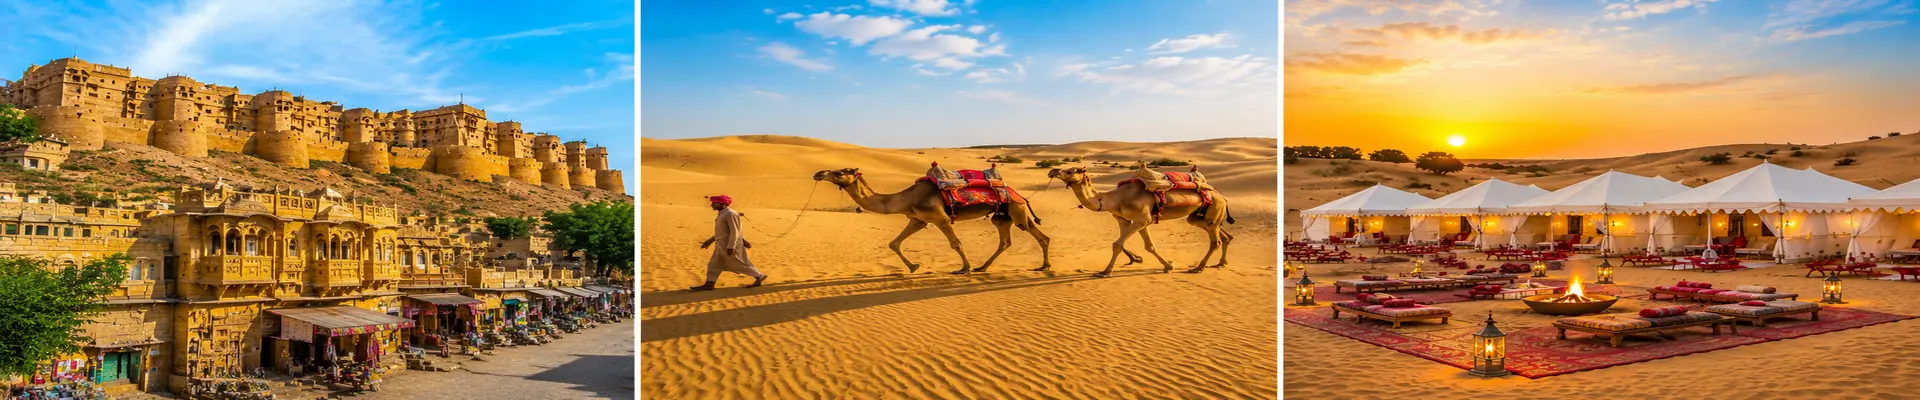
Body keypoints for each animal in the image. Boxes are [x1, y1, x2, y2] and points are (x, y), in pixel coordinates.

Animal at [812, 168, 1051, 274]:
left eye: (840, 172)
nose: (818, 173)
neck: (905, 198)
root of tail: (1020, 195)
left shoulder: (940, 218)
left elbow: (956, 244)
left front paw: (963, 269)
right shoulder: (918, 220)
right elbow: (894, 243)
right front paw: (913, 267)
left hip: (1017, 211)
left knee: (1040, 236)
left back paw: (1044, 266)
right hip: (1002, 216)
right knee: (1005, 241)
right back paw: (983, 267)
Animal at [1048, 166, 1234, 277]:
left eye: (1072, 170)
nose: (1053, 171)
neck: (1114, 199)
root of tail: (1222, 197)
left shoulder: (1141, 219)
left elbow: (1118, 244)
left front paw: (1105, 272)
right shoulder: (1129, 221)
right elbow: (1148, 246)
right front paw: (1168, 265)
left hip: (1214, 209)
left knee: (1215, 241)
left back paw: (1199, 267)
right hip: (1199, 216)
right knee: (1221, 234)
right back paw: (1220, 263)